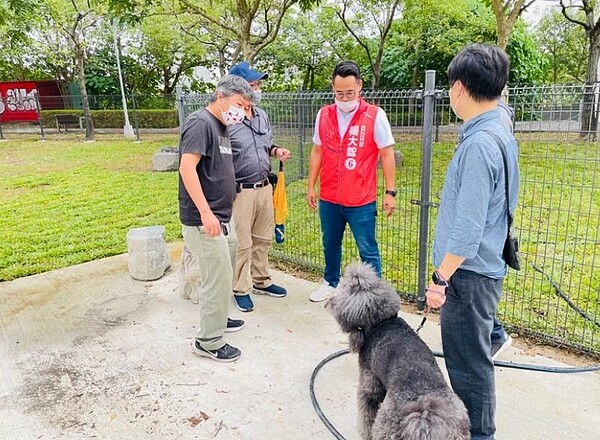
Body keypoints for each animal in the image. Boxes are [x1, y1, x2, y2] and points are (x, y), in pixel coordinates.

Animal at [326, 262, 472, 438]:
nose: (329, 302)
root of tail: (424, 416)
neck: (383, 322)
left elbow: (367, 415)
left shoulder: (370, 384)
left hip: (385, 427)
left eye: (342, 288)